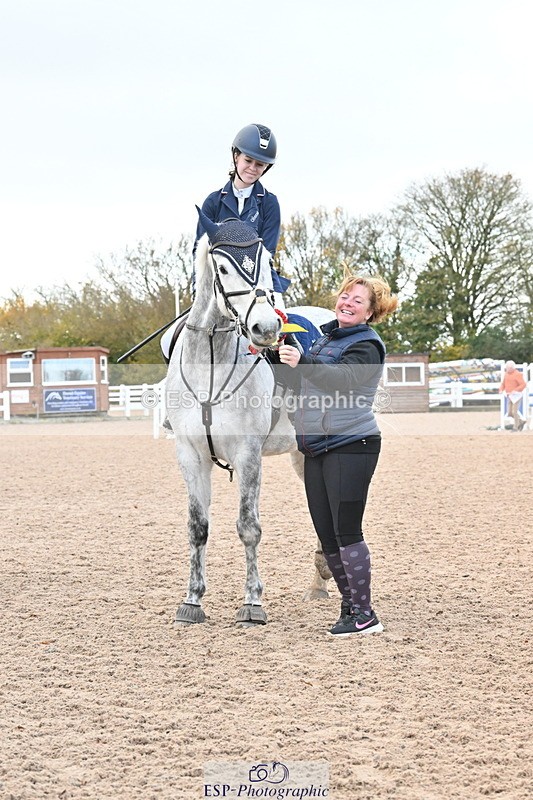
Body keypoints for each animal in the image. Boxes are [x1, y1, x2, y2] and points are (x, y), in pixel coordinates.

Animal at [166, 210, 333, 626]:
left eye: (266, 262)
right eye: (223, 267)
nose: (267, 329)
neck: (211, 364)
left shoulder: (248, 454)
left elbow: (248, 527)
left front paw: (252, 603)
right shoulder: (190, 454)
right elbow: (198, 528)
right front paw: (192, 600)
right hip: (301, 454)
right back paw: (319, 582)